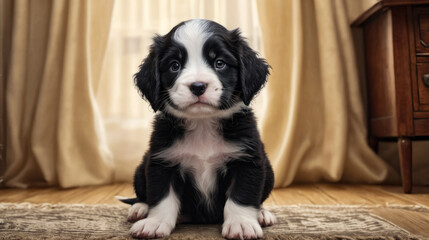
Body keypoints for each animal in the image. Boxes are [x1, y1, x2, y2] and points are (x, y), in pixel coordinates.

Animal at [119, 19, 274, 240]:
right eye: (174, 65)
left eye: (220, 63)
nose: (198, 86)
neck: (202, 125)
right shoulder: (162, 161)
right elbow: (161, 196)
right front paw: (155, 223)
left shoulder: (247, 160)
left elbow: (241, 196)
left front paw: (241, 224)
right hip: (141, 169)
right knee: (143, 195)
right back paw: (140, 209)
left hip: (269, 171)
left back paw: (262, 214)